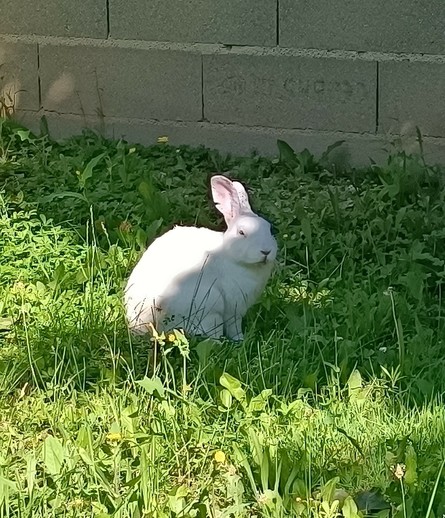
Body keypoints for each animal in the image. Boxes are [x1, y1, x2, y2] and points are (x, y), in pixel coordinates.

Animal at [125, 177, 276, 344]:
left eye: (270, 229)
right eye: (241, 233)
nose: (266, 251)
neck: (230, 255)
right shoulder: (233, 309)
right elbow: (234, 327)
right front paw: (240, 340)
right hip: (210, 307)